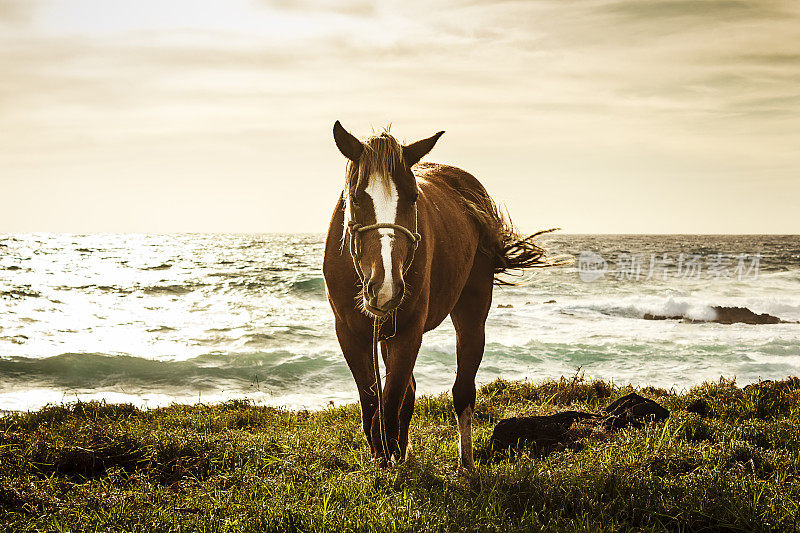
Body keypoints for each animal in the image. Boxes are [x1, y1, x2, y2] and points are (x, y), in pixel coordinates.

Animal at [322, 120, 552, 466]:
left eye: (413, 197)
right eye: (357, 199)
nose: (385, 287)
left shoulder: (409, 332)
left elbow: (388, 410)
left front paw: (389, 464)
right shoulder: (350, 334)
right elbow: (373, 407)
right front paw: (384, 460)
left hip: (472, 312)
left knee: (462, 391)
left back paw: (465, 464)